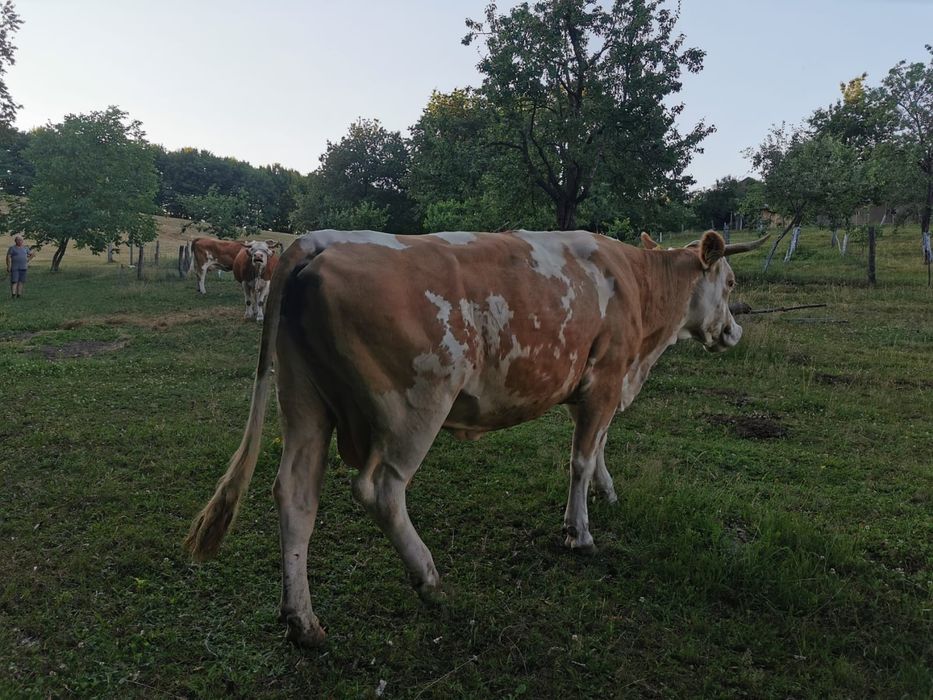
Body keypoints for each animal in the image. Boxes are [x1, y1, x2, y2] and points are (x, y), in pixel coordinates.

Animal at [185, 228, 767, 648]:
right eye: (731, 283)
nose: (735, 332)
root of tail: (319, 240)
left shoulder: (597, 386)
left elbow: (598, 446)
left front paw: (607, 492)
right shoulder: (605, 378)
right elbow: (581, 458)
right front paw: (579, 531)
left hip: (304, 402)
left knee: (296, 495)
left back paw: (303, 622)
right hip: (416, 406)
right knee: (380, 489)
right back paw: (428, 578)